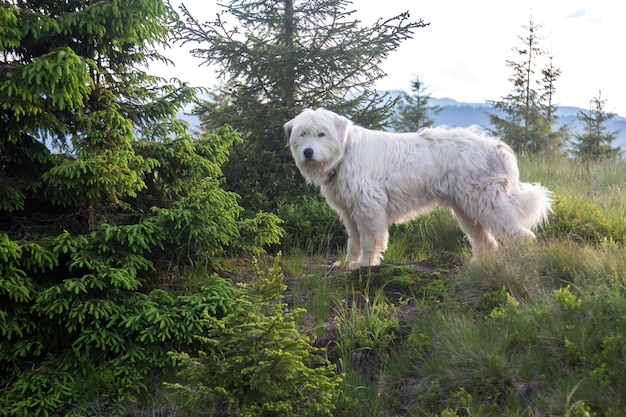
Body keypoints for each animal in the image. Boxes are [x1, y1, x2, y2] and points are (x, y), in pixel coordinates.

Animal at [282, 107, 552, 266]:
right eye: (302, 134)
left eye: (321, 134)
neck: (345, 153)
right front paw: (349, 264)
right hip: (468, 210)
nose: (308, 152)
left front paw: (365, 266)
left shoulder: (369, 207)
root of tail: (497, 146)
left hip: (487, 204)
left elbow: (369, 240)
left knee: (520, 235)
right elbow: (354, 241)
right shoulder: (350, 212)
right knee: (486, 241)